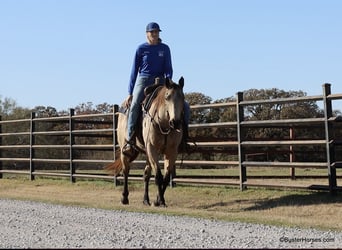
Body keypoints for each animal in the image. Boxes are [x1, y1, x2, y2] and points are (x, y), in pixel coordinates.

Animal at [106, 77, 184, 206]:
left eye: (182, 97)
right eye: (167, 97)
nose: (176, 122)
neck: (164, 124)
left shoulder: (171, 151)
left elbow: (166, 177)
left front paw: (158, 200)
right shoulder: (152, 149)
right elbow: (158, 176)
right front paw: (160, 200)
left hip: (147, 153)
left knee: (146, 175)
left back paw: (146, 200)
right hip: (124, 150)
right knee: (126, 171)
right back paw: (124, 198)